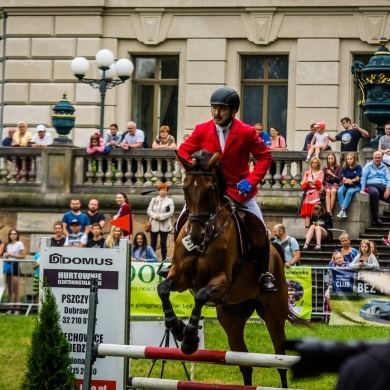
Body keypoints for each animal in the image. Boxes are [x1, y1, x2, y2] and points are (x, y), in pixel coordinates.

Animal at [156, 150, 310, 386]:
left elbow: (200, 295)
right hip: (232, 319)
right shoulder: (180, 276)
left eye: (210, 189)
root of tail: (276, 251)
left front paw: (189, 338)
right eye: (185, 189)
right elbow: (163, 288)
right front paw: (177, 328)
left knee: (280, 360)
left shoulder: (221, 280)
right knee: (245, 363)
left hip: (274, 316)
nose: (196, 236)